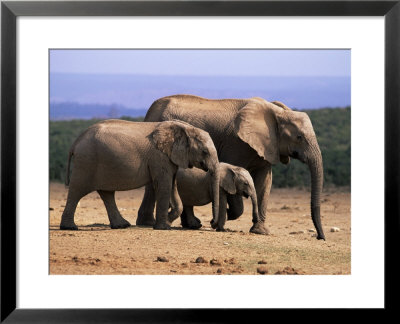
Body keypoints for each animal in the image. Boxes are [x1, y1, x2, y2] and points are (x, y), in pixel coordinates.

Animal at [139, 95, 326, 239]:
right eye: (299, 137)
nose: (319, 237)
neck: (276, 113)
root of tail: (149, 111)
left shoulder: (268, 147)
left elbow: (264, 182)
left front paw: (260, 231)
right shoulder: (236, 143)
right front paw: (224, 216)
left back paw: (190, 225)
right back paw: (149, 223)